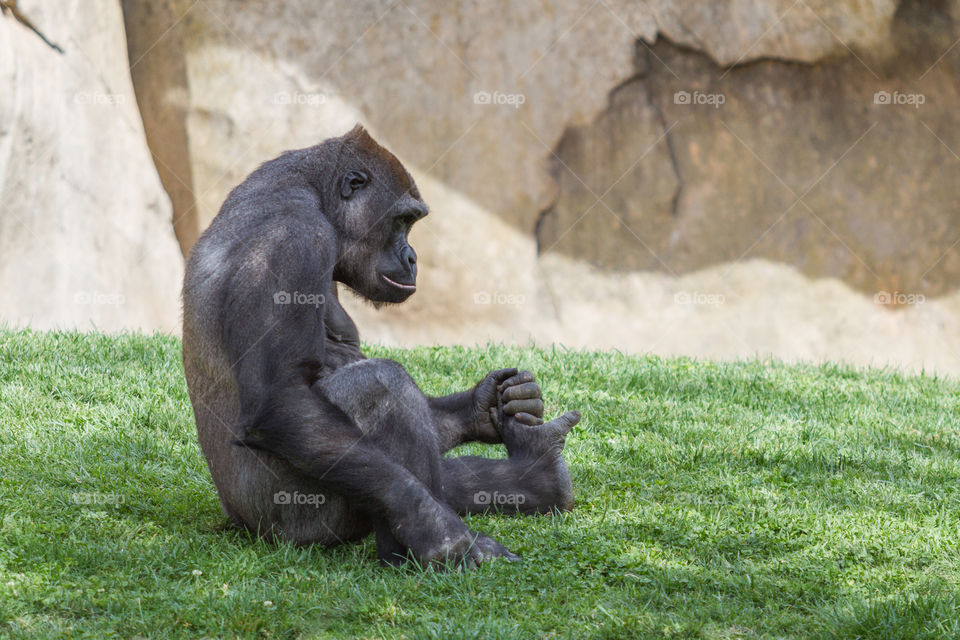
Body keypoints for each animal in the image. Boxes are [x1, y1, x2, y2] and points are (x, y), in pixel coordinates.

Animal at [181, 125, 580, 568]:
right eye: (402, 220)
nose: (412, 258)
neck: (309, 190)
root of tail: (235, 518)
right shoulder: (291, 241)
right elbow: (282, 398)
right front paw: (437, 530)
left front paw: (489, 403)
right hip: (287, 523)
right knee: (378, 387)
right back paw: (411, 554)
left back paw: (538, 472)